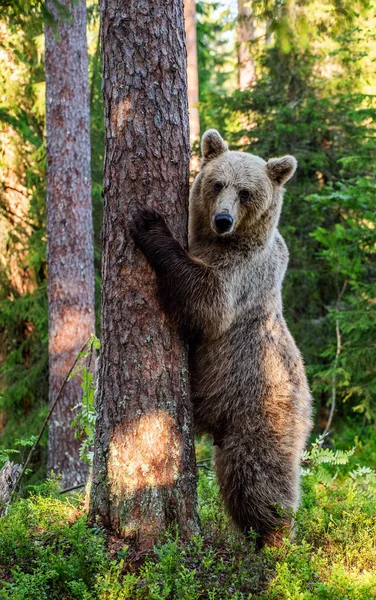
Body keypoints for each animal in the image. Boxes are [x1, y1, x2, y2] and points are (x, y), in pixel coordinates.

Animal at [131, 130, 312, 548]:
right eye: (217, 184)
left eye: (246, 192)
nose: (223, 219)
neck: (220, 242)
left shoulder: (243, 273)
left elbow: (209, 303)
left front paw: (150, 224)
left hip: (260, 404)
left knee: (257, 477)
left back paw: (272, 537)